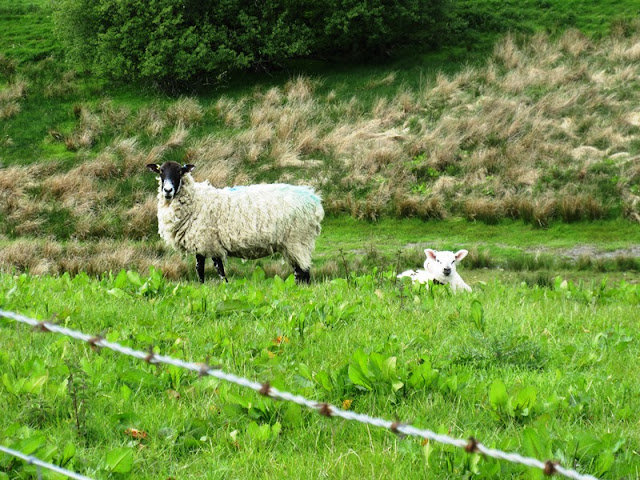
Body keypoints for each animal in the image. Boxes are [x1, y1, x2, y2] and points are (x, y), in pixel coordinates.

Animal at [146, 161, 324, 284]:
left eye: (179, 171)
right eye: (161, 171)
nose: (167, 190)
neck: (196, 199)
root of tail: (313, 199)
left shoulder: (209, 241)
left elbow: (217, 269)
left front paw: (224, 285)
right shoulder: (202, 243)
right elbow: (200, 269)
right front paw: (203, 286)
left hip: (298, 240)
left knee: (304, 272)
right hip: (292, 245)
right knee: (299, 272)